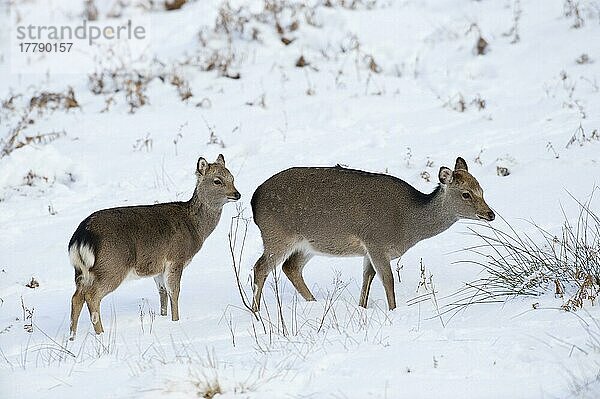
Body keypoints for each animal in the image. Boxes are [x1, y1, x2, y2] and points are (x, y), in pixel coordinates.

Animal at [67, 155, 240, 340]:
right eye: (217, 181)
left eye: (232, 178)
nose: (237, 194)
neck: (195, 228)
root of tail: (82, 235)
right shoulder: (176, 258)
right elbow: (174, 292)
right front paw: (176, 322)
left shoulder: (158, 267)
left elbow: (162, 293)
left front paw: (163, 317)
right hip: (111, 266)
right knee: (91, 296)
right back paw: (100, 333)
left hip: (81, 270)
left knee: (76, 297)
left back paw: (72, 337)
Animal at [251, 157, 494, 312]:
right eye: (466, 194)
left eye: (482, 190)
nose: (490, 214)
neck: (408, 224)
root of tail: (254, 198)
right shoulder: (376, 241)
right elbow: (388, 280)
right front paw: (393, 312)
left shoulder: (368, 250)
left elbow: (367, 278)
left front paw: (362, 309)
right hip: (278, 235)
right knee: (260, 267)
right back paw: (256, 312)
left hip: (308, 244)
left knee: (291, 267)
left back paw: (314, 302)